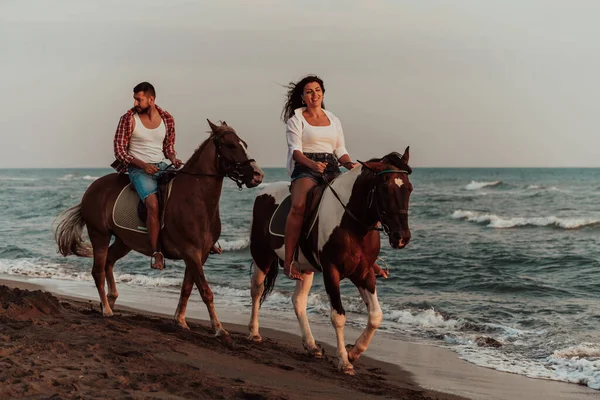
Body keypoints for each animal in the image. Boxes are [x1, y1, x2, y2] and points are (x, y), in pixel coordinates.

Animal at [53, 120, 262, 336]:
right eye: (230, 145)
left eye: (244, 144)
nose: (258, 175)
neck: (196, 199)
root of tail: (92, 189)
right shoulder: (191, 252)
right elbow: (206, 291)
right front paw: (219, 328)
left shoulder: (199, 255)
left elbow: (187, 288)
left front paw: (180, 320)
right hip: (99, 235)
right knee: (98, 270)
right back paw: (107, 309)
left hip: (124, 241)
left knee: (109, 262)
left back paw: (111, 300)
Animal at [248, 148, 412, 374]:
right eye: (385, 188)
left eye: (409, 189)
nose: (401, 237)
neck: (352, 224)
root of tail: (263, 193)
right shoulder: (331, 271)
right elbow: (338, 317)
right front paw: (344, 361)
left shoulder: (363, 272)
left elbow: (376, 315)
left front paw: (353, 352)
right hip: (262, 256)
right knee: (257, 290)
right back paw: (254, 333)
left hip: (304, 268)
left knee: (298, 301)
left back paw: (311, 345)